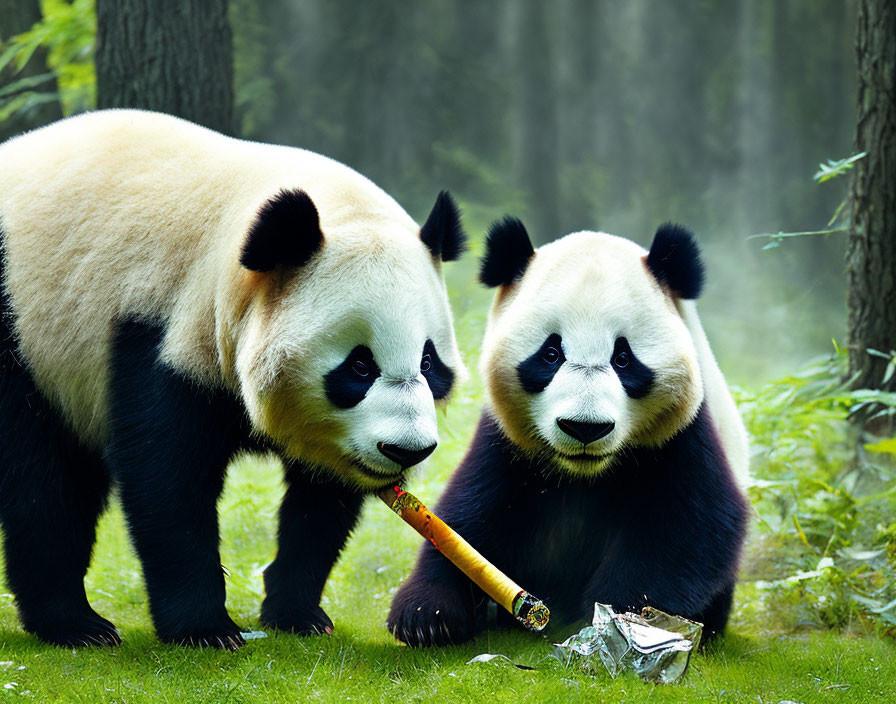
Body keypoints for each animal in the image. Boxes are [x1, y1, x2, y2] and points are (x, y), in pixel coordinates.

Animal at [1, 110, 468, 648]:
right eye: (359, 366)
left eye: (429, 362)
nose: (407, 450)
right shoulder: (163, 329)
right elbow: (168, 482)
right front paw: (205, 629)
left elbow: (321, 503)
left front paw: (297, 614)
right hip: (27, 333)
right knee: (42, 478)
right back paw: (75, 624)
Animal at [390, 217, 748, 648]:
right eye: (551, 354)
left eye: (623, 358)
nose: (584, 427)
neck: (585, 475)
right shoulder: (508, 442)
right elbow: (469, 515)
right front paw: (426, 616)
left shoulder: (682, 435)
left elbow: (686, 529)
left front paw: (608, 623)